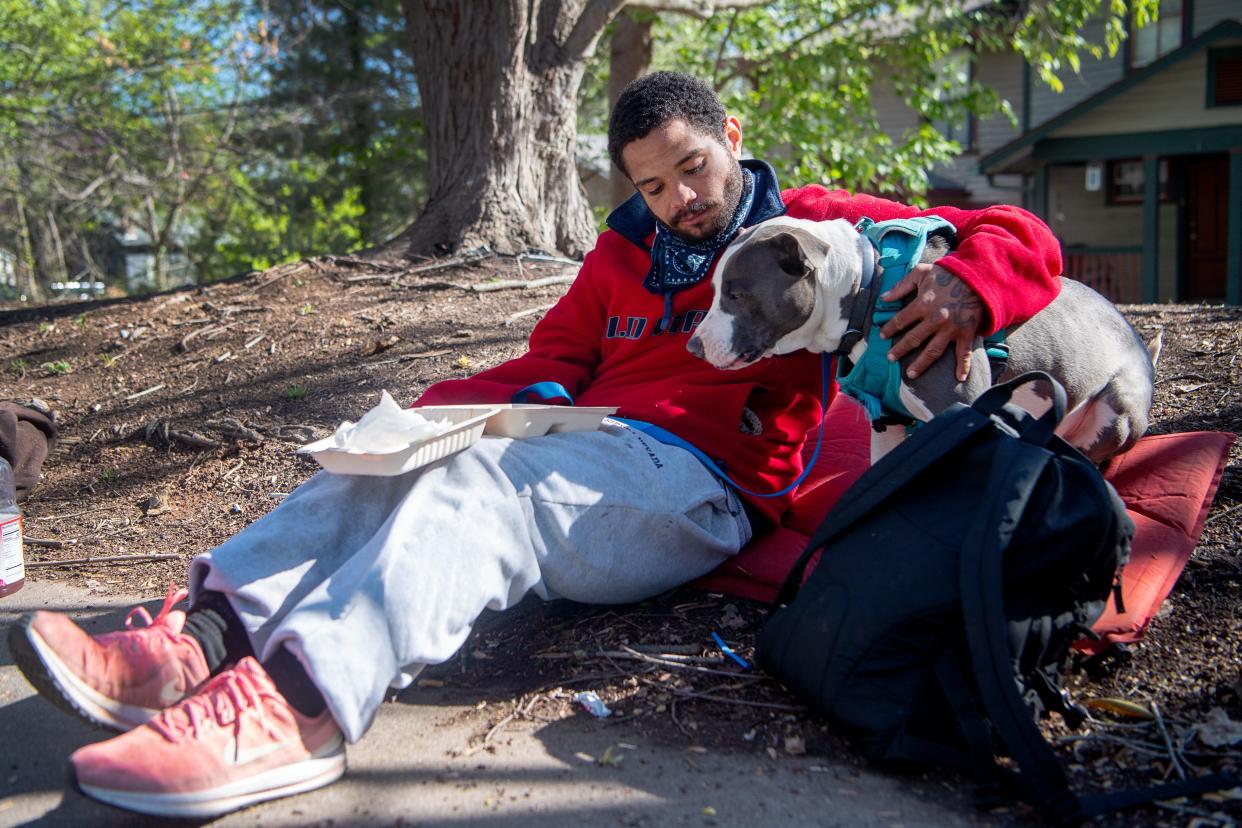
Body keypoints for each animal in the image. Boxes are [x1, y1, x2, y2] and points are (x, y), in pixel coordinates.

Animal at [690, 217, 1162, 464]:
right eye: (714, 290)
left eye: (736, 294)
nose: (693, 347)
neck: (868, 288)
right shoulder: (889, 423)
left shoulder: (965, 409)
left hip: (1118, 409)